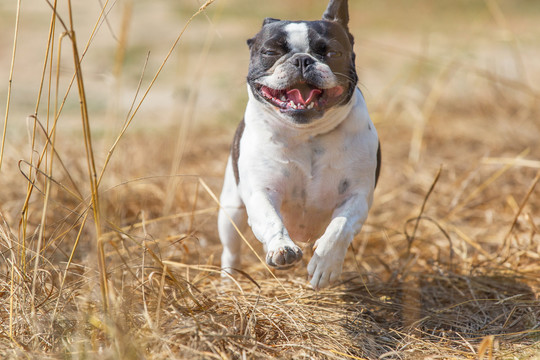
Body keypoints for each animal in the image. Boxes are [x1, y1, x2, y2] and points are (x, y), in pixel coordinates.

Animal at [216, 0, 380, 288]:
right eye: (270, 52)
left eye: (332, 52)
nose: (302, 59)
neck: (307, 135)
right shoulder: (261, 191)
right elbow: (271, 219)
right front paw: (282, 248)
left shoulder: (357, 196)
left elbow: (339, 229)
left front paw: (325, 264)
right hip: (231, 210)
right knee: (231, 249)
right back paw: (230, 279)